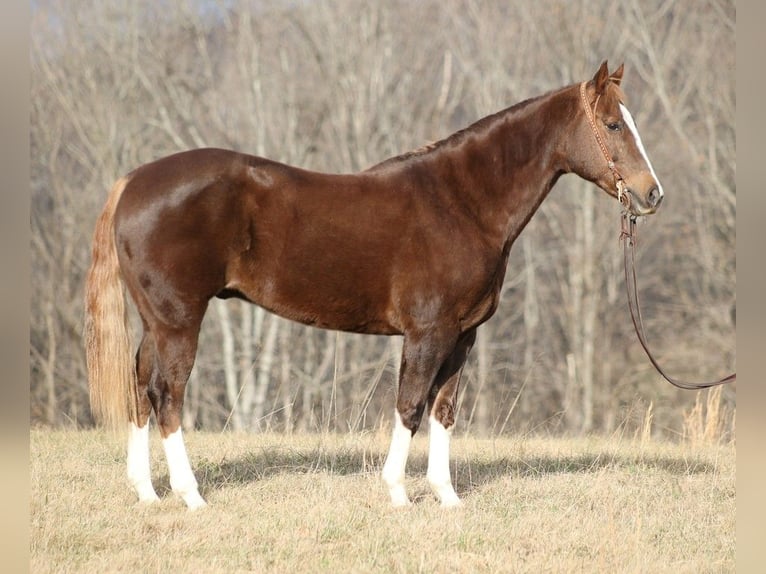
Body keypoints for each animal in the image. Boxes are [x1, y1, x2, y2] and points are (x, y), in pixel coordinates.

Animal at [85, 60, 664, 508]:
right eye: (614, 125)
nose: (652, 194)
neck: (461, 203)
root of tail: (132, 182)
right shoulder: (427, 333)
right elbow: (409, 406)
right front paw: (398, 494)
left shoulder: (463, 335)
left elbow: (443, 411)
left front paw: (447, 497)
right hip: (179, 320)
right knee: (167, 395)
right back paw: (192, 496)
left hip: (156, 322)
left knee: (140, 387)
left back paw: (147, 493)